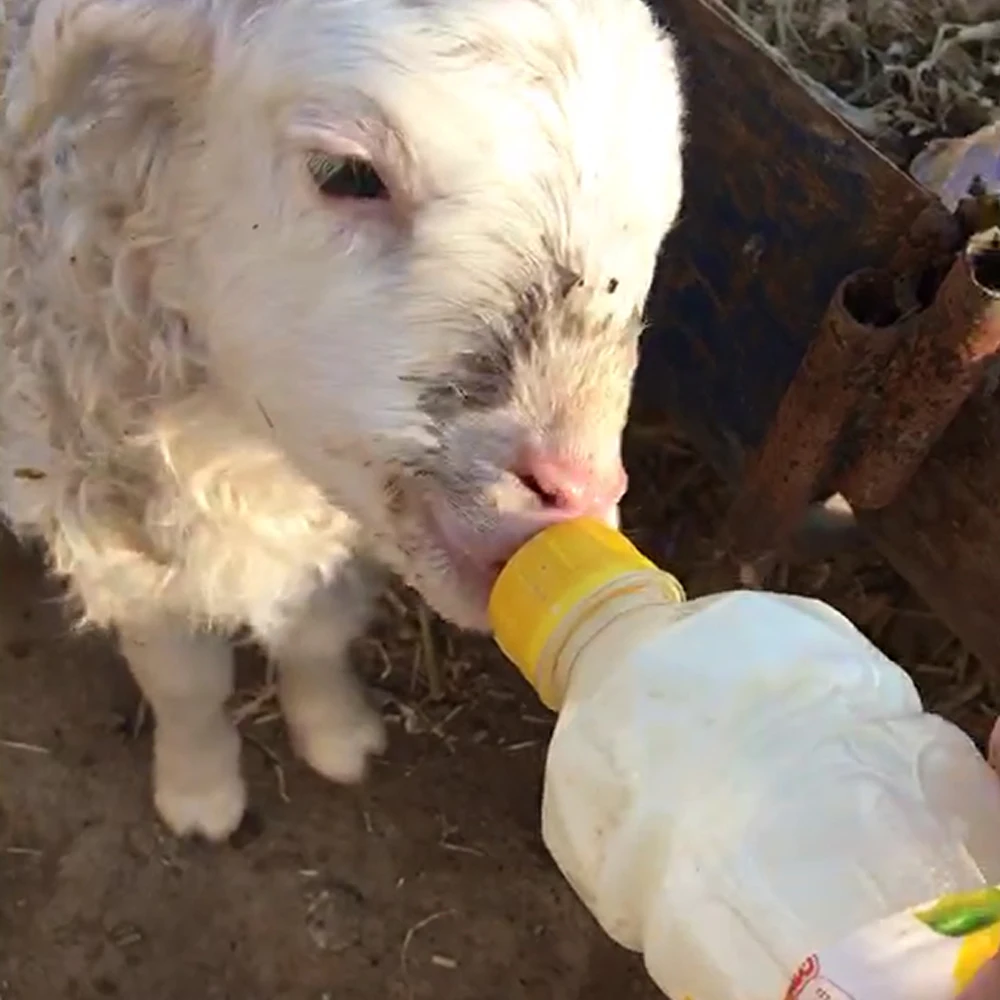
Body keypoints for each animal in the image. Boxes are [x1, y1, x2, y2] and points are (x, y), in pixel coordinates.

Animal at [0, 0, 686, 840]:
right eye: (347, 174)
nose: (572, 490)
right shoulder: (106, 519)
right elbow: (182, 675)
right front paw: (200, 791)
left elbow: (319, 630)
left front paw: (337, 733)